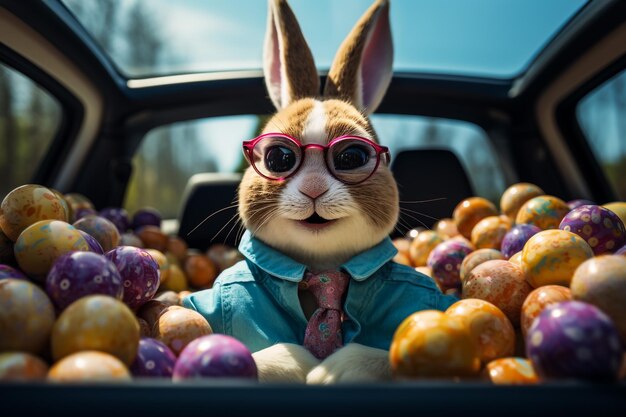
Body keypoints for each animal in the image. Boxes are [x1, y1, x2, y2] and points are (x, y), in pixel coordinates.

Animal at [180, 0, 454, 384]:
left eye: (352, 157)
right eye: (278, 158)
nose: (313, 188)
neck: (321, 265)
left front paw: (335, 370)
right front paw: (296, 364)